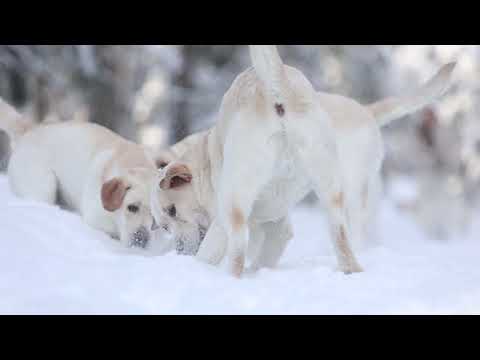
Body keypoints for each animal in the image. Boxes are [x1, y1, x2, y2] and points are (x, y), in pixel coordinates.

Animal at [0, 97, 170, 252]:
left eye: (156, 221)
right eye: (132, 207)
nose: (141, 239)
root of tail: (29, 129)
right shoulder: (95, 221)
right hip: (44, 188)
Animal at [152, 43, 456, 278]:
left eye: (172, 212)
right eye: (164, 225)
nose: (179, 251)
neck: (205, 161)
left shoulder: (225, 219)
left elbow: (217, 250)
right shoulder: (277, 225)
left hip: (240, 198)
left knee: (238, 249)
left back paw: (230, 279)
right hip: (334, 193)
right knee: (343, 239)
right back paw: (351, 270)